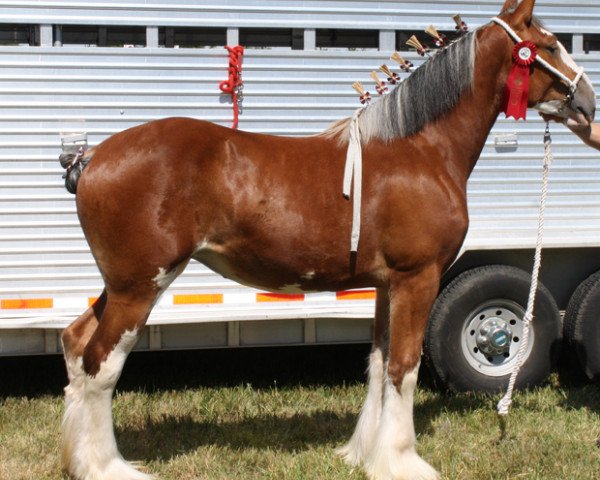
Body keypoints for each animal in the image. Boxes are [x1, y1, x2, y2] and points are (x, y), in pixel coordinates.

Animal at [57, 0, 596, 480]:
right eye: (549, 44)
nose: (588, 102)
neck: (420, 149)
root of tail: (92, 157)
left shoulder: (386, 284)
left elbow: (378, 364)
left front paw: (365, 455)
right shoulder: (417, 278)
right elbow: (403, 367)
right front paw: (403, 462)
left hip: (120, 286)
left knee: (76, 344)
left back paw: (80, 462)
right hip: (140, 287)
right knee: (101, 363)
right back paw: (107, 468)